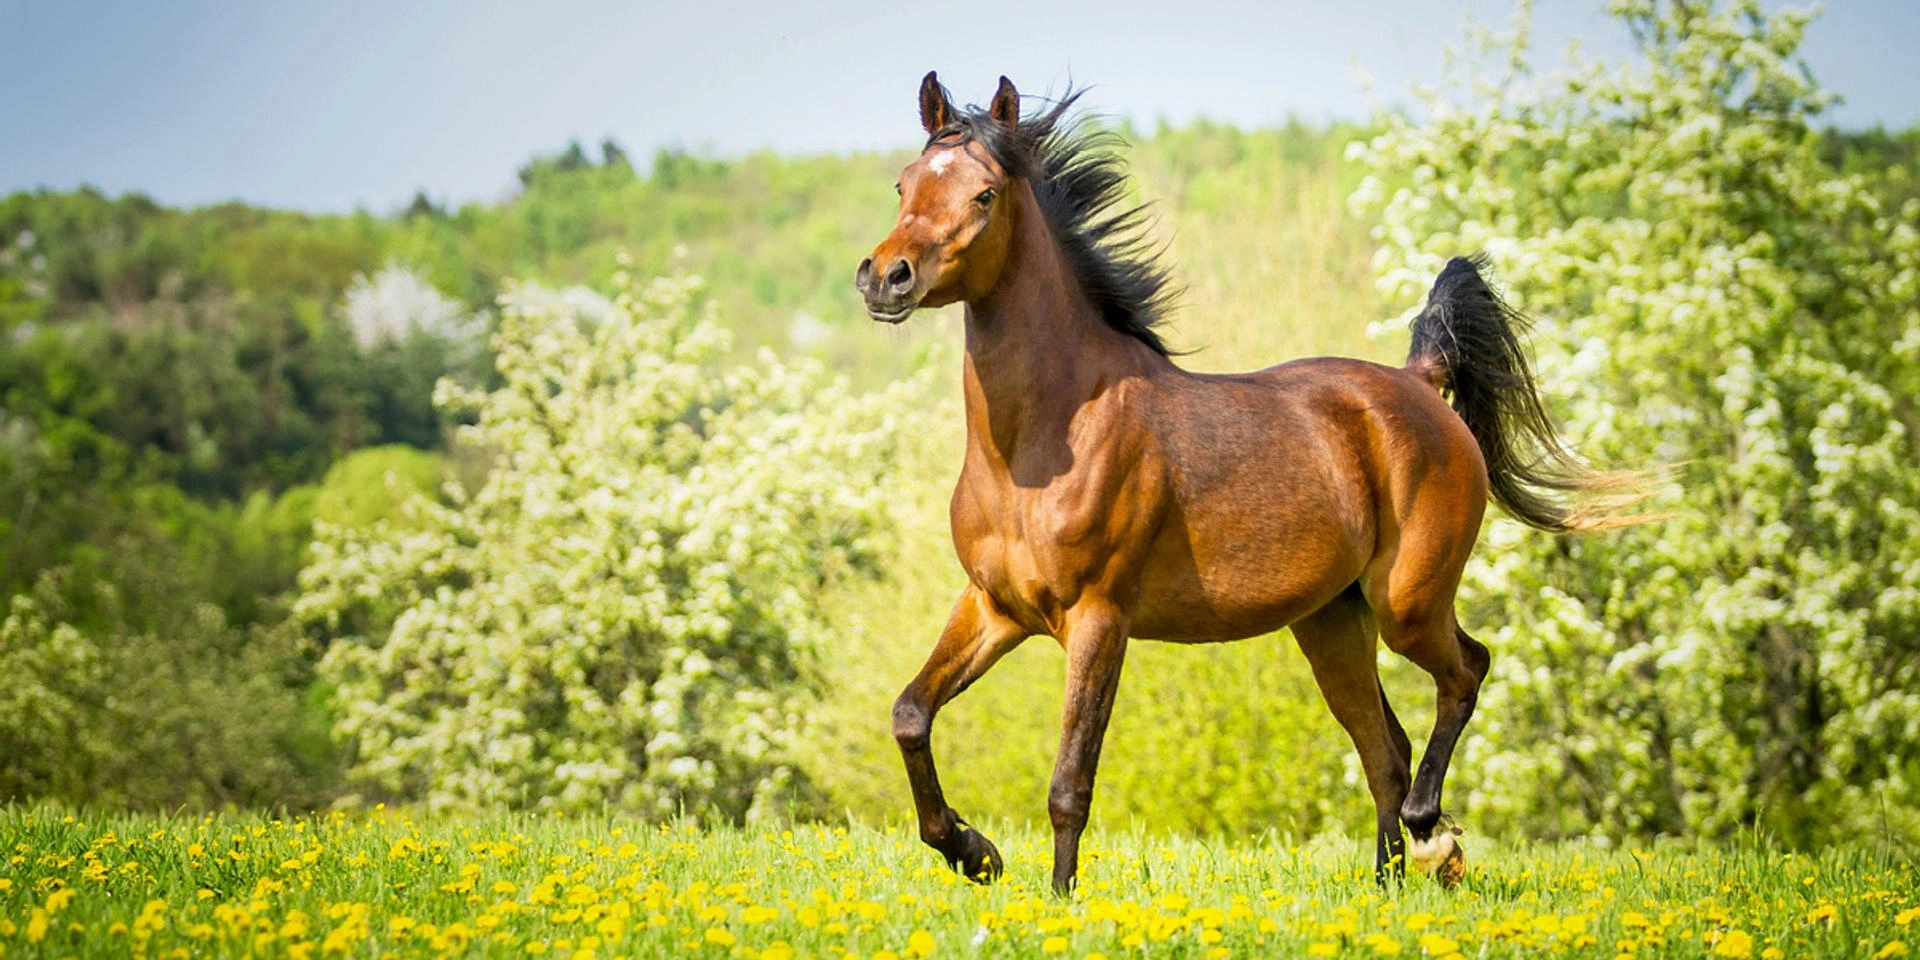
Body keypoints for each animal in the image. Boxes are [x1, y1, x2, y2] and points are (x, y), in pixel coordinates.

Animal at [856, 72, 1648, 895]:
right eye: (904, 183)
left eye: (983, 194)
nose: (886, 278)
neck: (1043, 443)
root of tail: (1419, 382)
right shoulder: (994, 607)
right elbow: (910, 714)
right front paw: (972, 851)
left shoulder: (1099, 620)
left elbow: (1069, 784)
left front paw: (1056, 897)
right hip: (1332, 622)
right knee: (1385, 750)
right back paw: (1388, 882)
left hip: (1407, 604)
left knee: (1466, 675)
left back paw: (1434, 838)